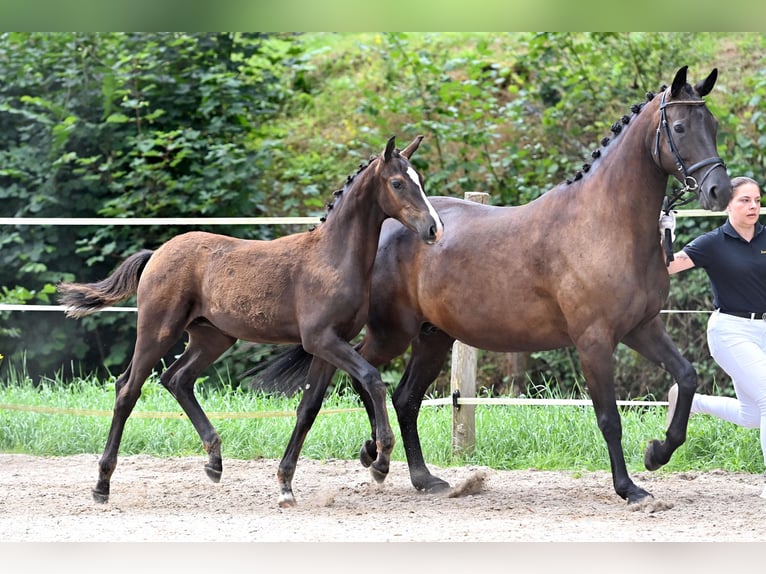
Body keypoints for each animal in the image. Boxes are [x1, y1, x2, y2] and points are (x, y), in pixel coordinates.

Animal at [58, 135, 444, 508]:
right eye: (397, 183)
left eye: (421, 181)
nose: (433, 229)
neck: (331, 257)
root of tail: (156, 254)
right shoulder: (321, 340)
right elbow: (372, 378)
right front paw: (380, 462)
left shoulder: (329, 345)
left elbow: (308, 408)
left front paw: (286, 485)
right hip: (157, 330)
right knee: (128, 388)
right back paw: (102, 485)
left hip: (212, 337)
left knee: (177, 379)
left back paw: (214, 461)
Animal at [250, 66, 732, 508]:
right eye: (681, 127)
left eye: (713, 125)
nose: (719, 191)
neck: (605, 224)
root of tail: (385, 226)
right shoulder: (594, 340)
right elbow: (609, 418)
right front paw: (629, 488)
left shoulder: (642, 327)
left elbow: (687, 378)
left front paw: (657, 453)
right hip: (391, 334)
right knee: (363, 374)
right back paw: (374, 455)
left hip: (433, 337)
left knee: (405, 398)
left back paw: (424, 479)